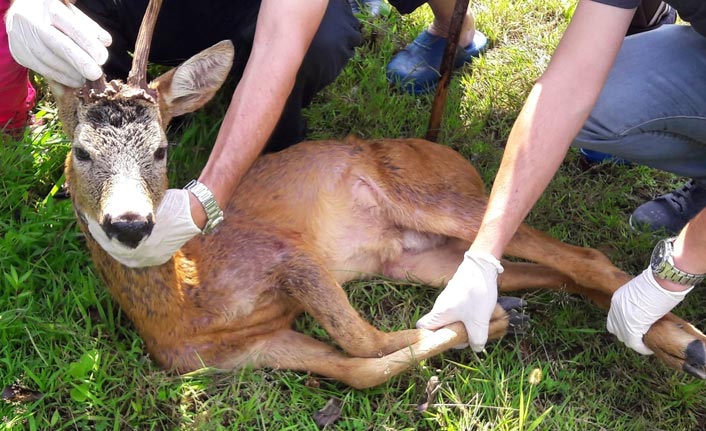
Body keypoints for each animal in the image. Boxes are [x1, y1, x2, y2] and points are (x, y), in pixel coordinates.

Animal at [46, 0, 700, 388]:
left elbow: (365, 338)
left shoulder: (288, 253)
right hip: (415, 258)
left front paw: (483, 324)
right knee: (537, 268)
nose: (130, 223)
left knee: (578, 254)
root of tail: (452, 157)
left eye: (160, 150)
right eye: (81, 152)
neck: (189, 298)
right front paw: (495, 319)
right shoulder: (246, 351)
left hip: (427, 195)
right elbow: (362, 368)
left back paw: (680, 340)